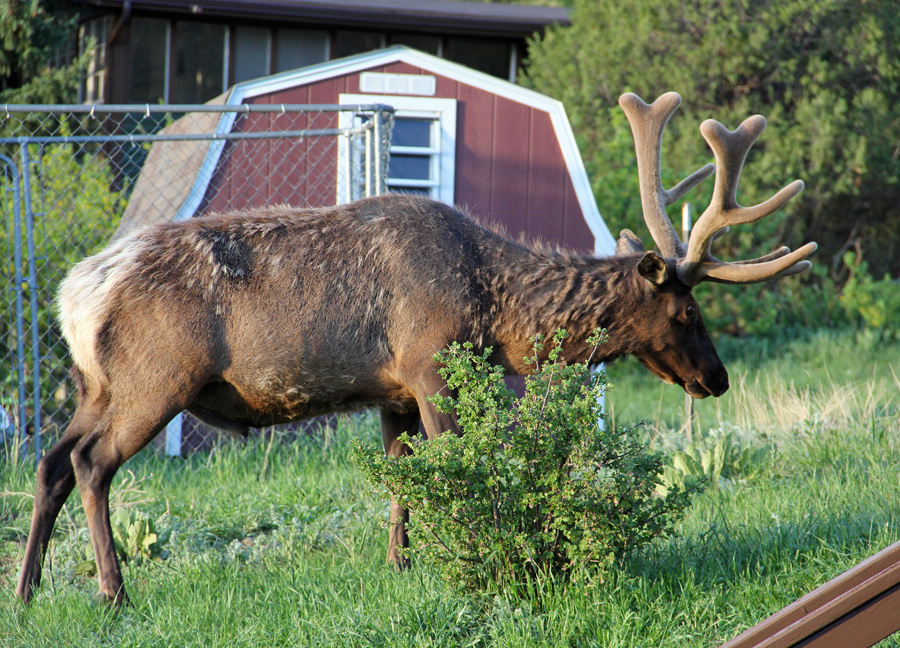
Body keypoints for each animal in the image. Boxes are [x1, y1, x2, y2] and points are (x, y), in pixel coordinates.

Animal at [16, 92, 815, 605]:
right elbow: (462, 475)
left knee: (52, 460)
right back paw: (114, 592)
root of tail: (76, 293)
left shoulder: (392, 390)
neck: (495, 310)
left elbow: (402, 483)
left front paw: (401, 568)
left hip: (98, 384)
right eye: (687, 309)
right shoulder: (432, 368)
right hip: (157, 378)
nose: (717, 378)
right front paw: (477, 559)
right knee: (91, 464)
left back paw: (27, 591)